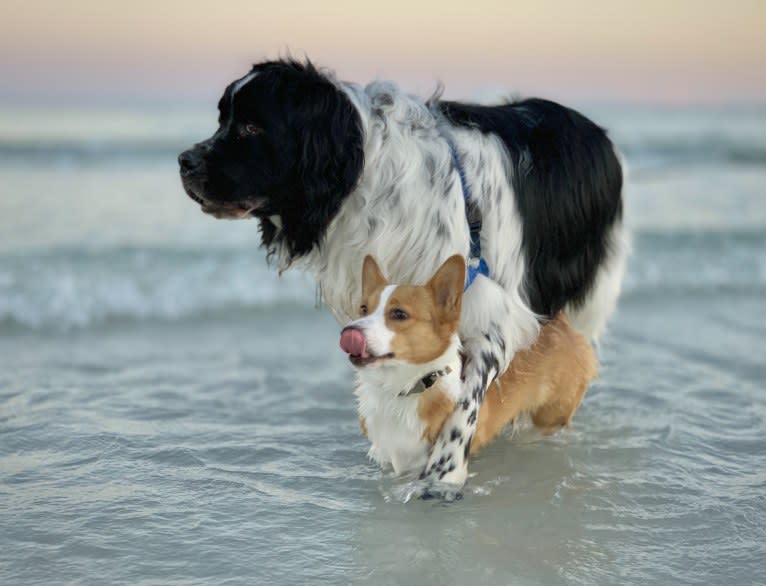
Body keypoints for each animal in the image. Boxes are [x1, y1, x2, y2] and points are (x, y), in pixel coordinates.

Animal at [180, 59, 632, 488]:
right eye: (223, 120)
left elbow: (465, 404)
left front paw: (446, 472)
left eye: (252, 126)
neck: (365, 176)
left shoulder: (492, 315)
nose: (184, 161)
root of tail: (595, 133)